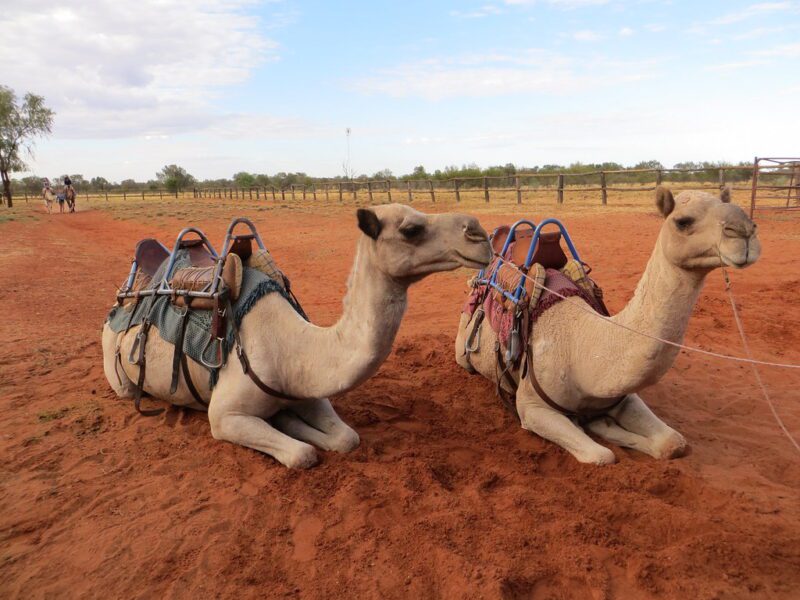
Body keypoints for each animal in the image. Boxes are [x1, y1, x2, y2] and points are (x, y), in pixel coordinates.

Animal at [103, 205, 490, 468]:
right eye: (411, 229)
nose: (479, 234)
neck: (291, 347)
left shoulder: (306, 390)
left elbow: (347, 438)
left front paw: (289, 420)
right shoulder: (223, 416)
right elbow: (303, 455)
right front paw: (293, 431)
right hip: (115, 361)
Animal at [456, 186, 764, 464]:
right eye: (682, 221)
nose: (745, 231)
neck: (580, 350)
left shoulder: (622, 396)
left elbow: (673, 443)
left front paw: (601, 424)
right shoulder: (530, 407)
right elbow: (602, 455)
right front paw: (595, 427)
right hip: (464, 349)